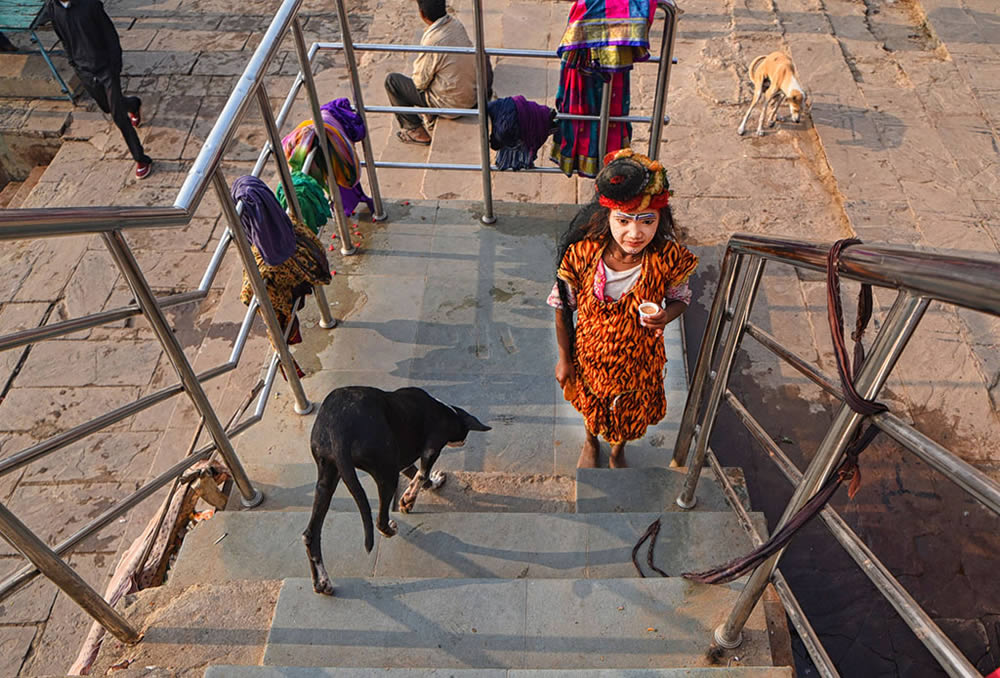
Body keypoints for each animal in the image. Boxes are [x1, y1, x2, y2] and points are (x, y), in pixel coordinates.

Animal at [304, 388, 492, 596]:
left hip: (328, 478)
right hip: (387, 472)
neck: (445, 410)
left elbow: (417, 474)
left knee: (311, 534)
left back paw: (321, 582)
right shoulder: (431, 448)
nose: (464, 441)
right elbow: (422, 474)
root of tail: (338, 429)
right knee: (380, 521)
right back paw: (390, 530)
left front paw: (421, 490)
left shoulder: (403, 459)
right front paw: (410, 498)